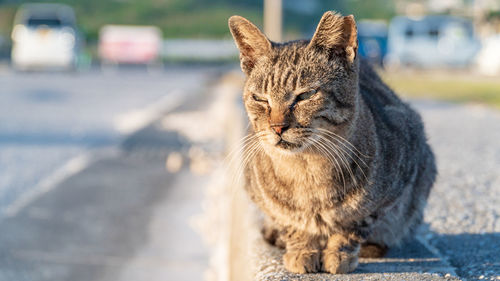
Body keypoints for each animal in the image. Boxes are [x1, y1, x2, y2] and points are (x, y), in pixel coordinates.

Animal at [229, 11, 436, 274]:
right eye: (260, 98)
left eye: (305, 95)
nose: (277, 127)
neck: (307, 169)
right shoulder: (266, 202)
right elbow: (292, 225)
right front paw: (303, 250)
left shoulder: (390, 192)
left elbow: (351, 226)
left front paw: (338, 253)